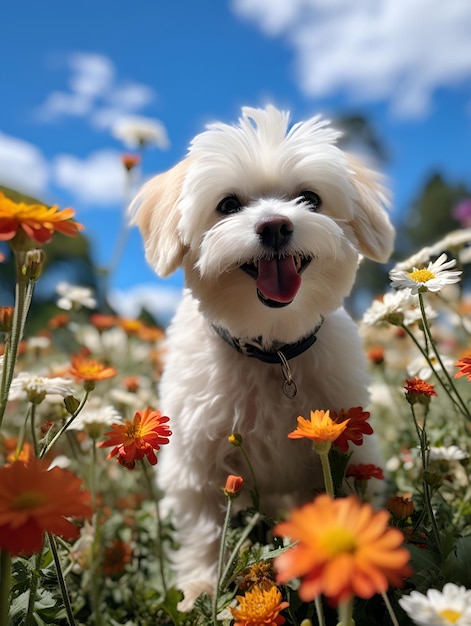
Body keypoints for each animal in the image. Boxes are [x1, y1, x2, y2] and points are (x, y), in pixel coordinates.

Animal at [129, 105, 394, 608]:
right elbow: (205, 531)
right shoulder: (196, 461)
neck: (272, 349)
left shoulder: (344, 446)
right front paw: (199, 587)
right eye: (228, 205)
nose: (275, 225)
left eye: (310, 199)